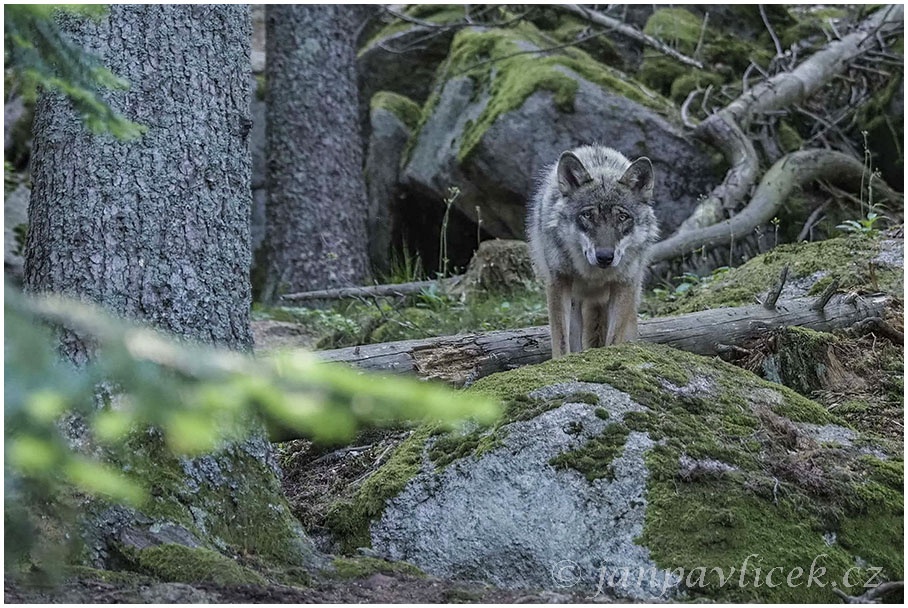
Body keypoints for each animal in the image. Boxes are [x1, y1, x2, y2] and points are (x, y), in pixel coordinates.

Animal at [524, 145, 660, 358]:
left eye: (622, 217)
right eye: (588, 215)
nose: (604, 257)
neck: (595, 275)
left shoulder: (624, 284)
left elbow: (614, 338)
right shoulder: (558, 281)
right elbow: (560, 339)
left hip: (631, 296)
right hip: (576, 302)